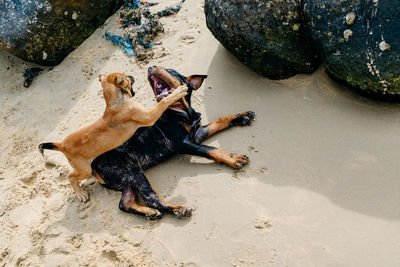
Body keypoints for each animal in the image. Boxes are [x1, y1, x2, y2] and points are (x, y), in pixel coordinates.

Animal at [39, 72, 188, 202]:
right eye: (125, 76)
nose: (131, 75)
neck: (116, 103)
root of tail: (61, 144)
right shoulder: (149, 116)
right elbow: (163, 102)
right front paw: (178, 92)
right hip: (84, 170)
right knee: (70, 176)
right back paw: (81, 194)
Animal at [92, 66, 255, 220]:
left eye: (171, 70)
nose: (149, 67)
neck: (182, 111)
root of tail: (93, 166)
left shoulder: (197, 133)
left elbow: (220, 121)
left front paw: (242, 117)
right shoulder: (182, 143)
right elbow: (211, 149)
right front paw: (234, 159)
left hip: (126, 179)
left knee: (124, 202)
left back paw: (150, 213)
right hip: (132, 172)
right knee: (151, 198)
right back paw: (177, 209)